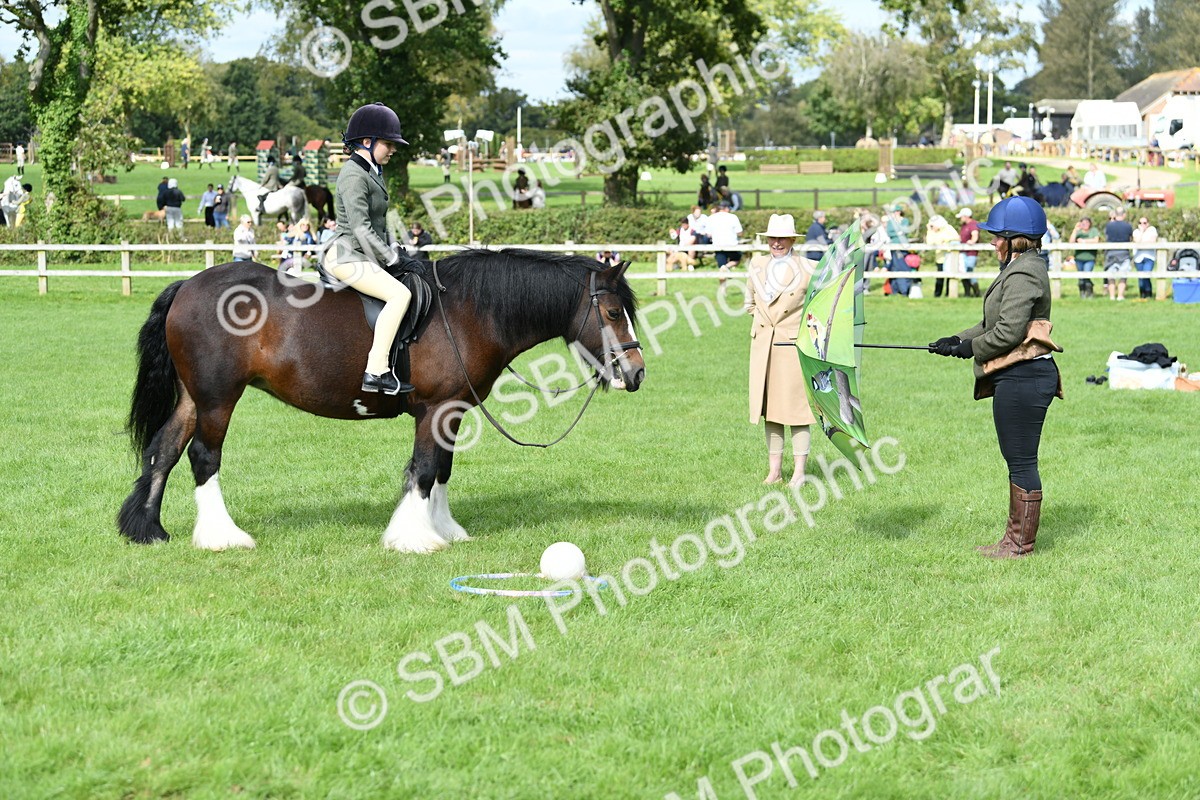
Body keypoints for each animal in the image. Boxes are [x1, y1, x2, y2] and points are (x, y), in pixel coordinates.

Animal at [117, 249, 645, 554]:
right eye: (612, 312)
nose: (636, 373)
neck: (468, 311)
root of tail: (187, 285)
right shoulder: (435, 410)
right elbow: (425, 470)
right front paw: (413, 537)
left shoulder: (452, 410)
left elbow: (443, 470)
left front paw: (444, 529)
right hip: (218, 398)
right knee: (204, 457)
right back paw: (223, 537)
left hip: (194, 397)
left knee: (164, 450)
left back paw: (148, 529)